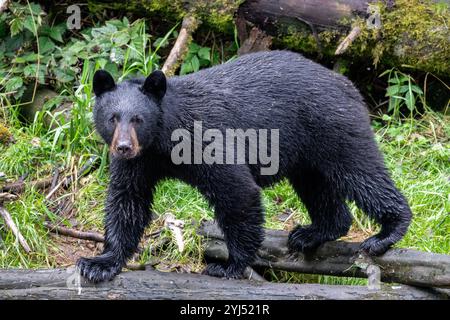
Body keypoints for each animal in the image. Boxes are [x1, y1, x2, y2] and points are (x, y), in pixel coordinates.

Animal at [76, 50, 412, 282]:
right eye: (112, 118)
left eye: (138, 119)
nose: (123, 147)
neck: (163, 140)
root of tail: (346, 83)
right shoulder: (140, 163)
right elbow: (127, 201)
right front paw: (99, 263)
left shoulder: (204, 139)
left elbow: (237, 191)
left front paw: (229, 265)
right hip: (307, 153)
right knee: (318, 187)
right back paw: (313, 233)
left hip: (332, 127)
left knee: (361, 172)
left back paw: (388, 232)